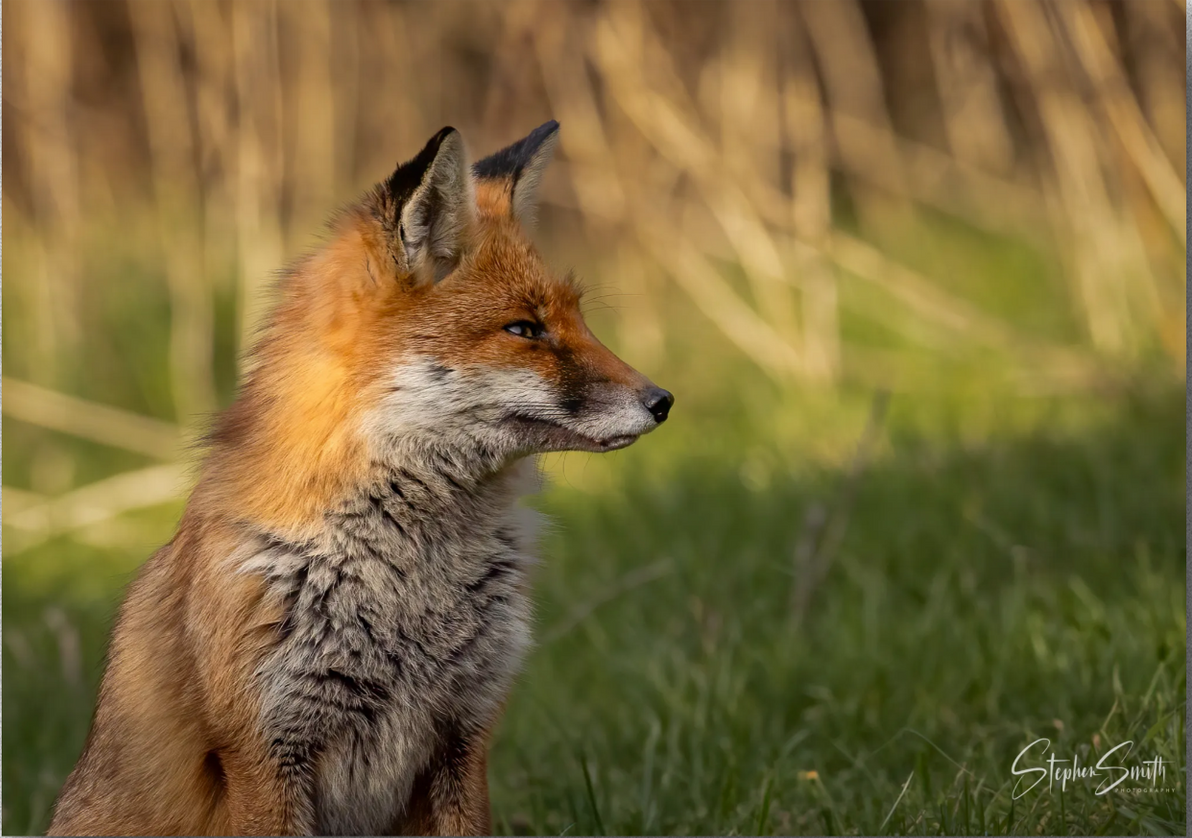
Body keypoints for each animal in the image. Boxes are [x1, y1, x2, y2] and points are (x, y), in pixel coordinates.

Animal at [47, 120, 673, 837]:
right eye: (524, 329)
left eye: (578, 319)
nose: (662, 400)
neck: (412, 586)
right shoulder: (265, 753)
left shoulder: (465, 735)